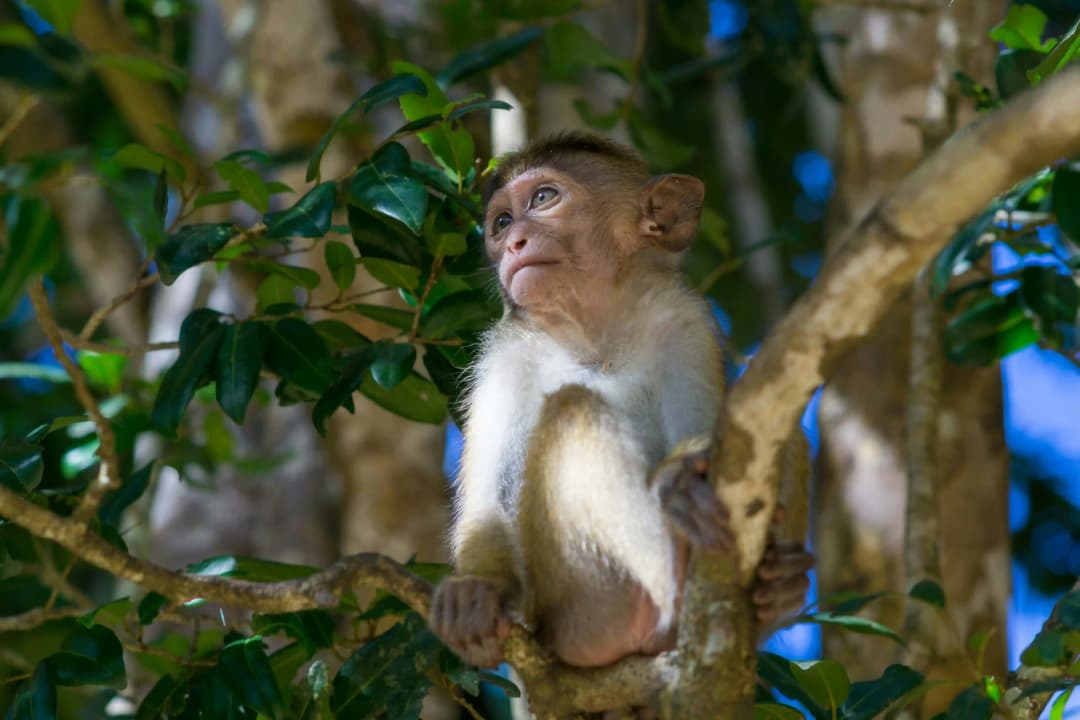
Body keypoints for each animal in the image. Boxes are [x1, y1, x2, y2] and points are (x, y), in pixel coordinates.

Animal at [429, 132, 812, 673]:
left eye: (543, 198)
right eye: (501, 223)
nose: (514, 243)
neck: (594, 335)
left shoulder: (682, 319)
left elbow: (715, 433)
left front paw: (686, 477)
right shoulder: (502, 357)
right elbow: (487, 503)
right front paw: (475, 593)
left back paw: (775, 589)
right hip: (574, 605)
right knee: (573, 410)